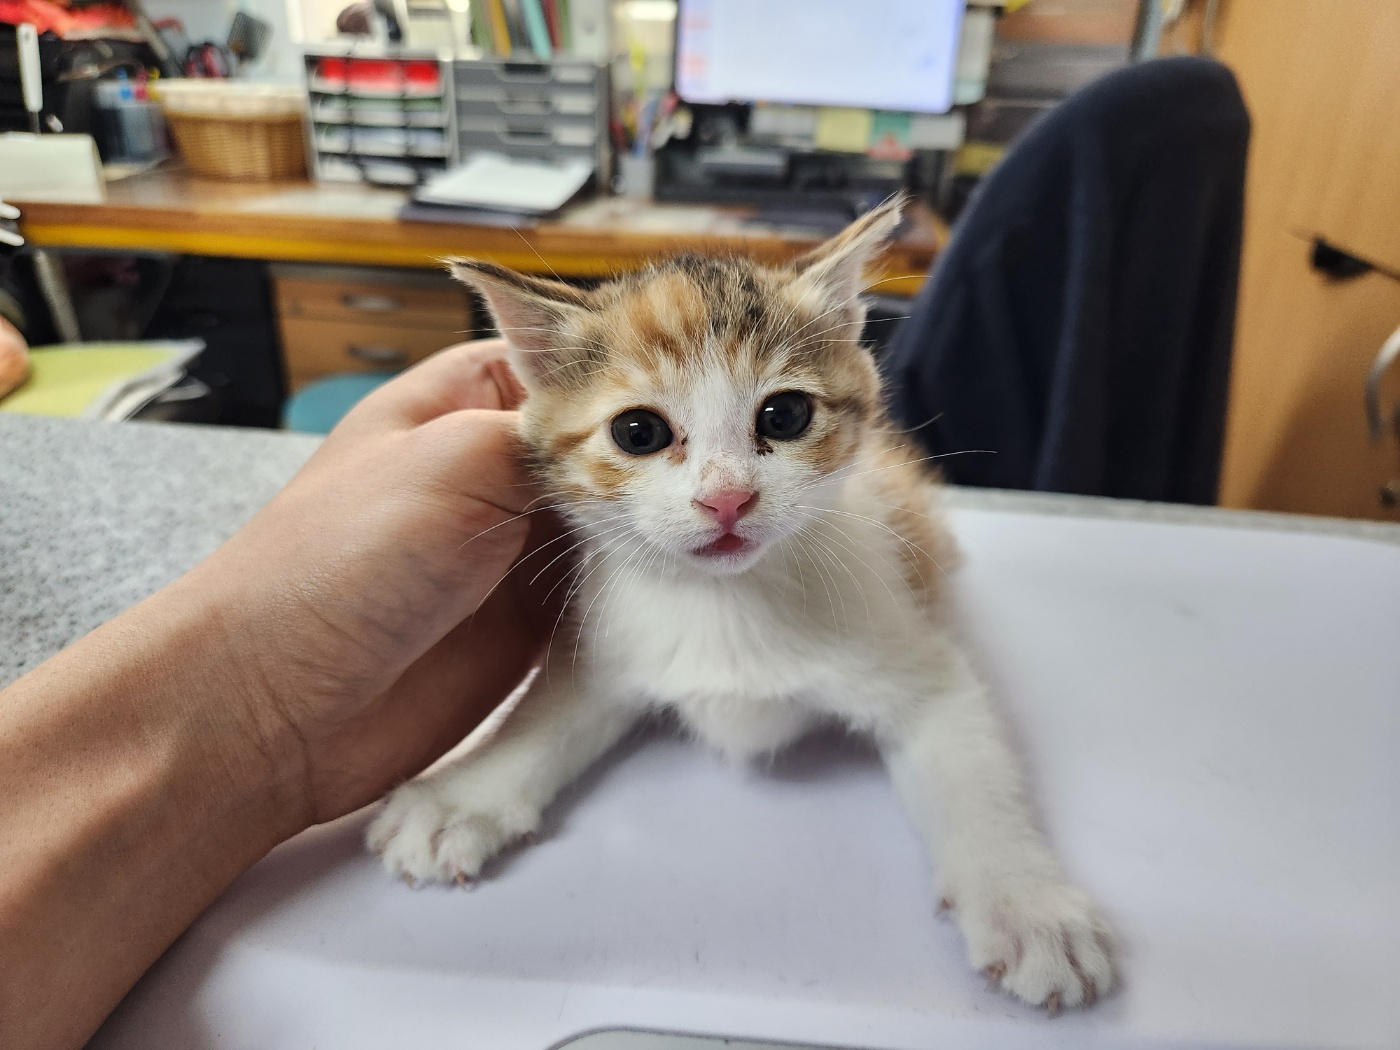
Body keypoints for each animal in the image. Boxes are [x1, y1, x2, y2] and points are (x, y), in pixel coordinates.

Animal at [369, 201, 1114, 1013]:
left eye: (784, 416)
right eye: (638, 431)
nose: (726, 498)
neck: (725, 606)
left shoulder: (922, 661)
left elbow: (974, 775)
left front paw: (1025, 903)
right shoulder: (609, 647)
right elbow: (545, 717)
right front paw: (462, 797)